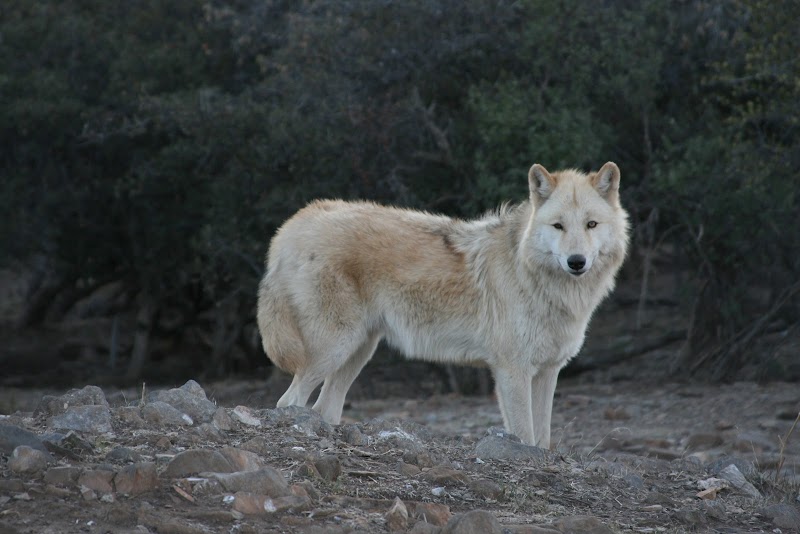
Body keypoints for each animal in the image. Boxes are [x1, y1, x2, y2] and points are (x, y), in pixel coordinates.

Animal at [257, 162, 629, 448]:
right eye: (558, 226)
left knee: (325, 408)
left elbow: (543, 438)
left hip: (358, 352)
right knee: (289, 401)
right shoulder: (513, 371)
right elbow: (524, 434)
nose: (577, 262)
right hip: (335, 348)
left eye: (591, 224)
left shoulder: (548, 371)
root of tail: (293, 224)